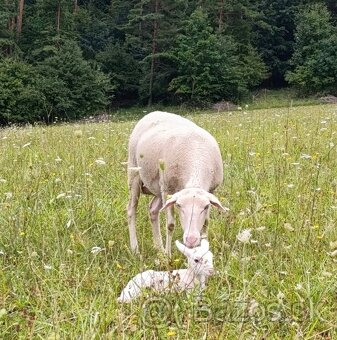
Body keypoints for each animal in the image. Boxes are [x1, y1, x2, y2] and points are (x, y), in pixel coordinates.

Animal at [126, 110, 228, 256]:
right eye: (179, 206)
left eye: (205, 207)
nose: (191, 239)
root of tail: (153, 112)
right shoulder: (167, 189)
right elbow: (170, 225)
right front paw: (168, 255)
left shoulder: (210, 191)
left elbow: (206, 224)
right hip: (135, 173)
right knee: (131, 210)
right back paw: (136, 249)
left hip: (158, 185)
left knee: (153, 210)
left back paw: (158, 247)